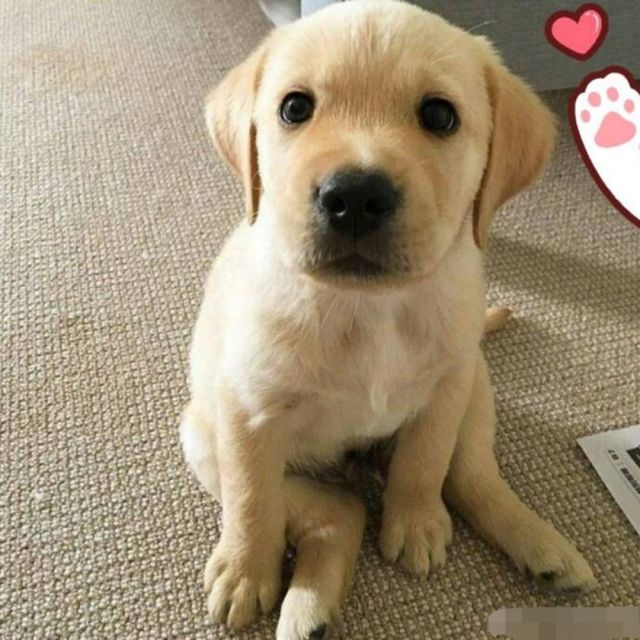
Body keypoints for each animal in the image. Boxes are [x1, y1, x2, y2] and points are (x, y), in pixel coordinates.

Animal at [180, 1, 596, 638]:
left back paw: (542, 546)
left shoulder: (445, 388)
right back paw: (308, 608)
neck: (368, 307)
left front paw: (417, 523)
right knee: (338, 511)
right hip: (203, 440)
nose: (354, 195)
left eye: (439, 115)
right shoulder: (247, 414)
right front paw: (246, 572)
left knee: (469, 476)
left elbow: (424, 464)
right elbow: (253, 501)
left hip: (476, 382)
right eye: (295, 107)